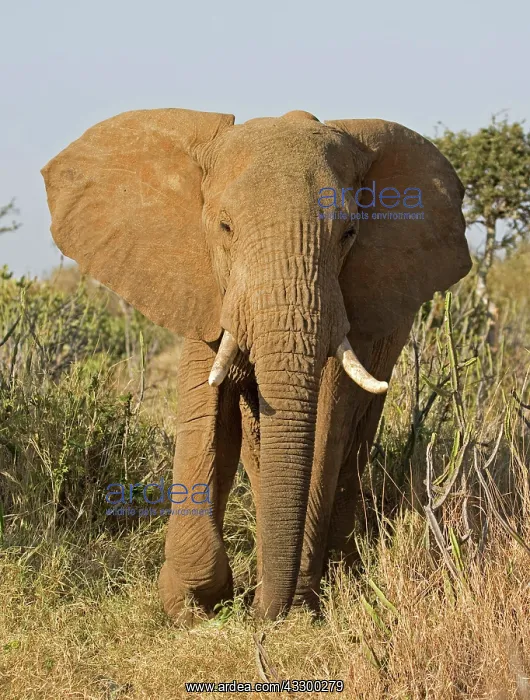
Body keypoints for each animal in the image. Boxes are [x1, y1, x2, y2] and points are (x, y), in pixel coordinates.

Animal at [41, 107, 471, 623]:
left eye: (349, 234)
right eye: (225, 228)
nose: (262, 612)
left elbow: (326, 422)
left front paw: (295, 602)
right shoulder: (206, 287)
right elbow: (207, 411)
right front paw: (193, 602)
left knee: (354, 440)